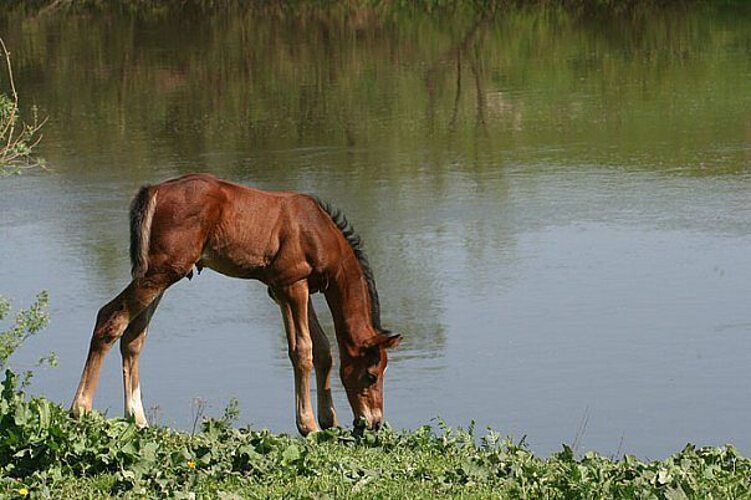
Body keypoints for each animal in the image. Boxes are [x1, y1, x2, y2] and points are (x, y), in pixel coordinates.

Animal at [71, 174, 402, 436]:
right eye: (372, 374)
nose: (374, 423)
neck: (317, 229)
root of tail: (155, 190)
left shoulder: (292, 289)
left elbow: (323, 350)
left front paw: (329, 419)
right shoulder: (291, 285)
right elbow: (302, 350)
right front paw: (308, 424)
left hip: (159, 276)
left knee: (133, 337)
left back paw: (138, 420)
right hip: (160, 273)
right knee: (110, 319)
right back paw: (81, 409)